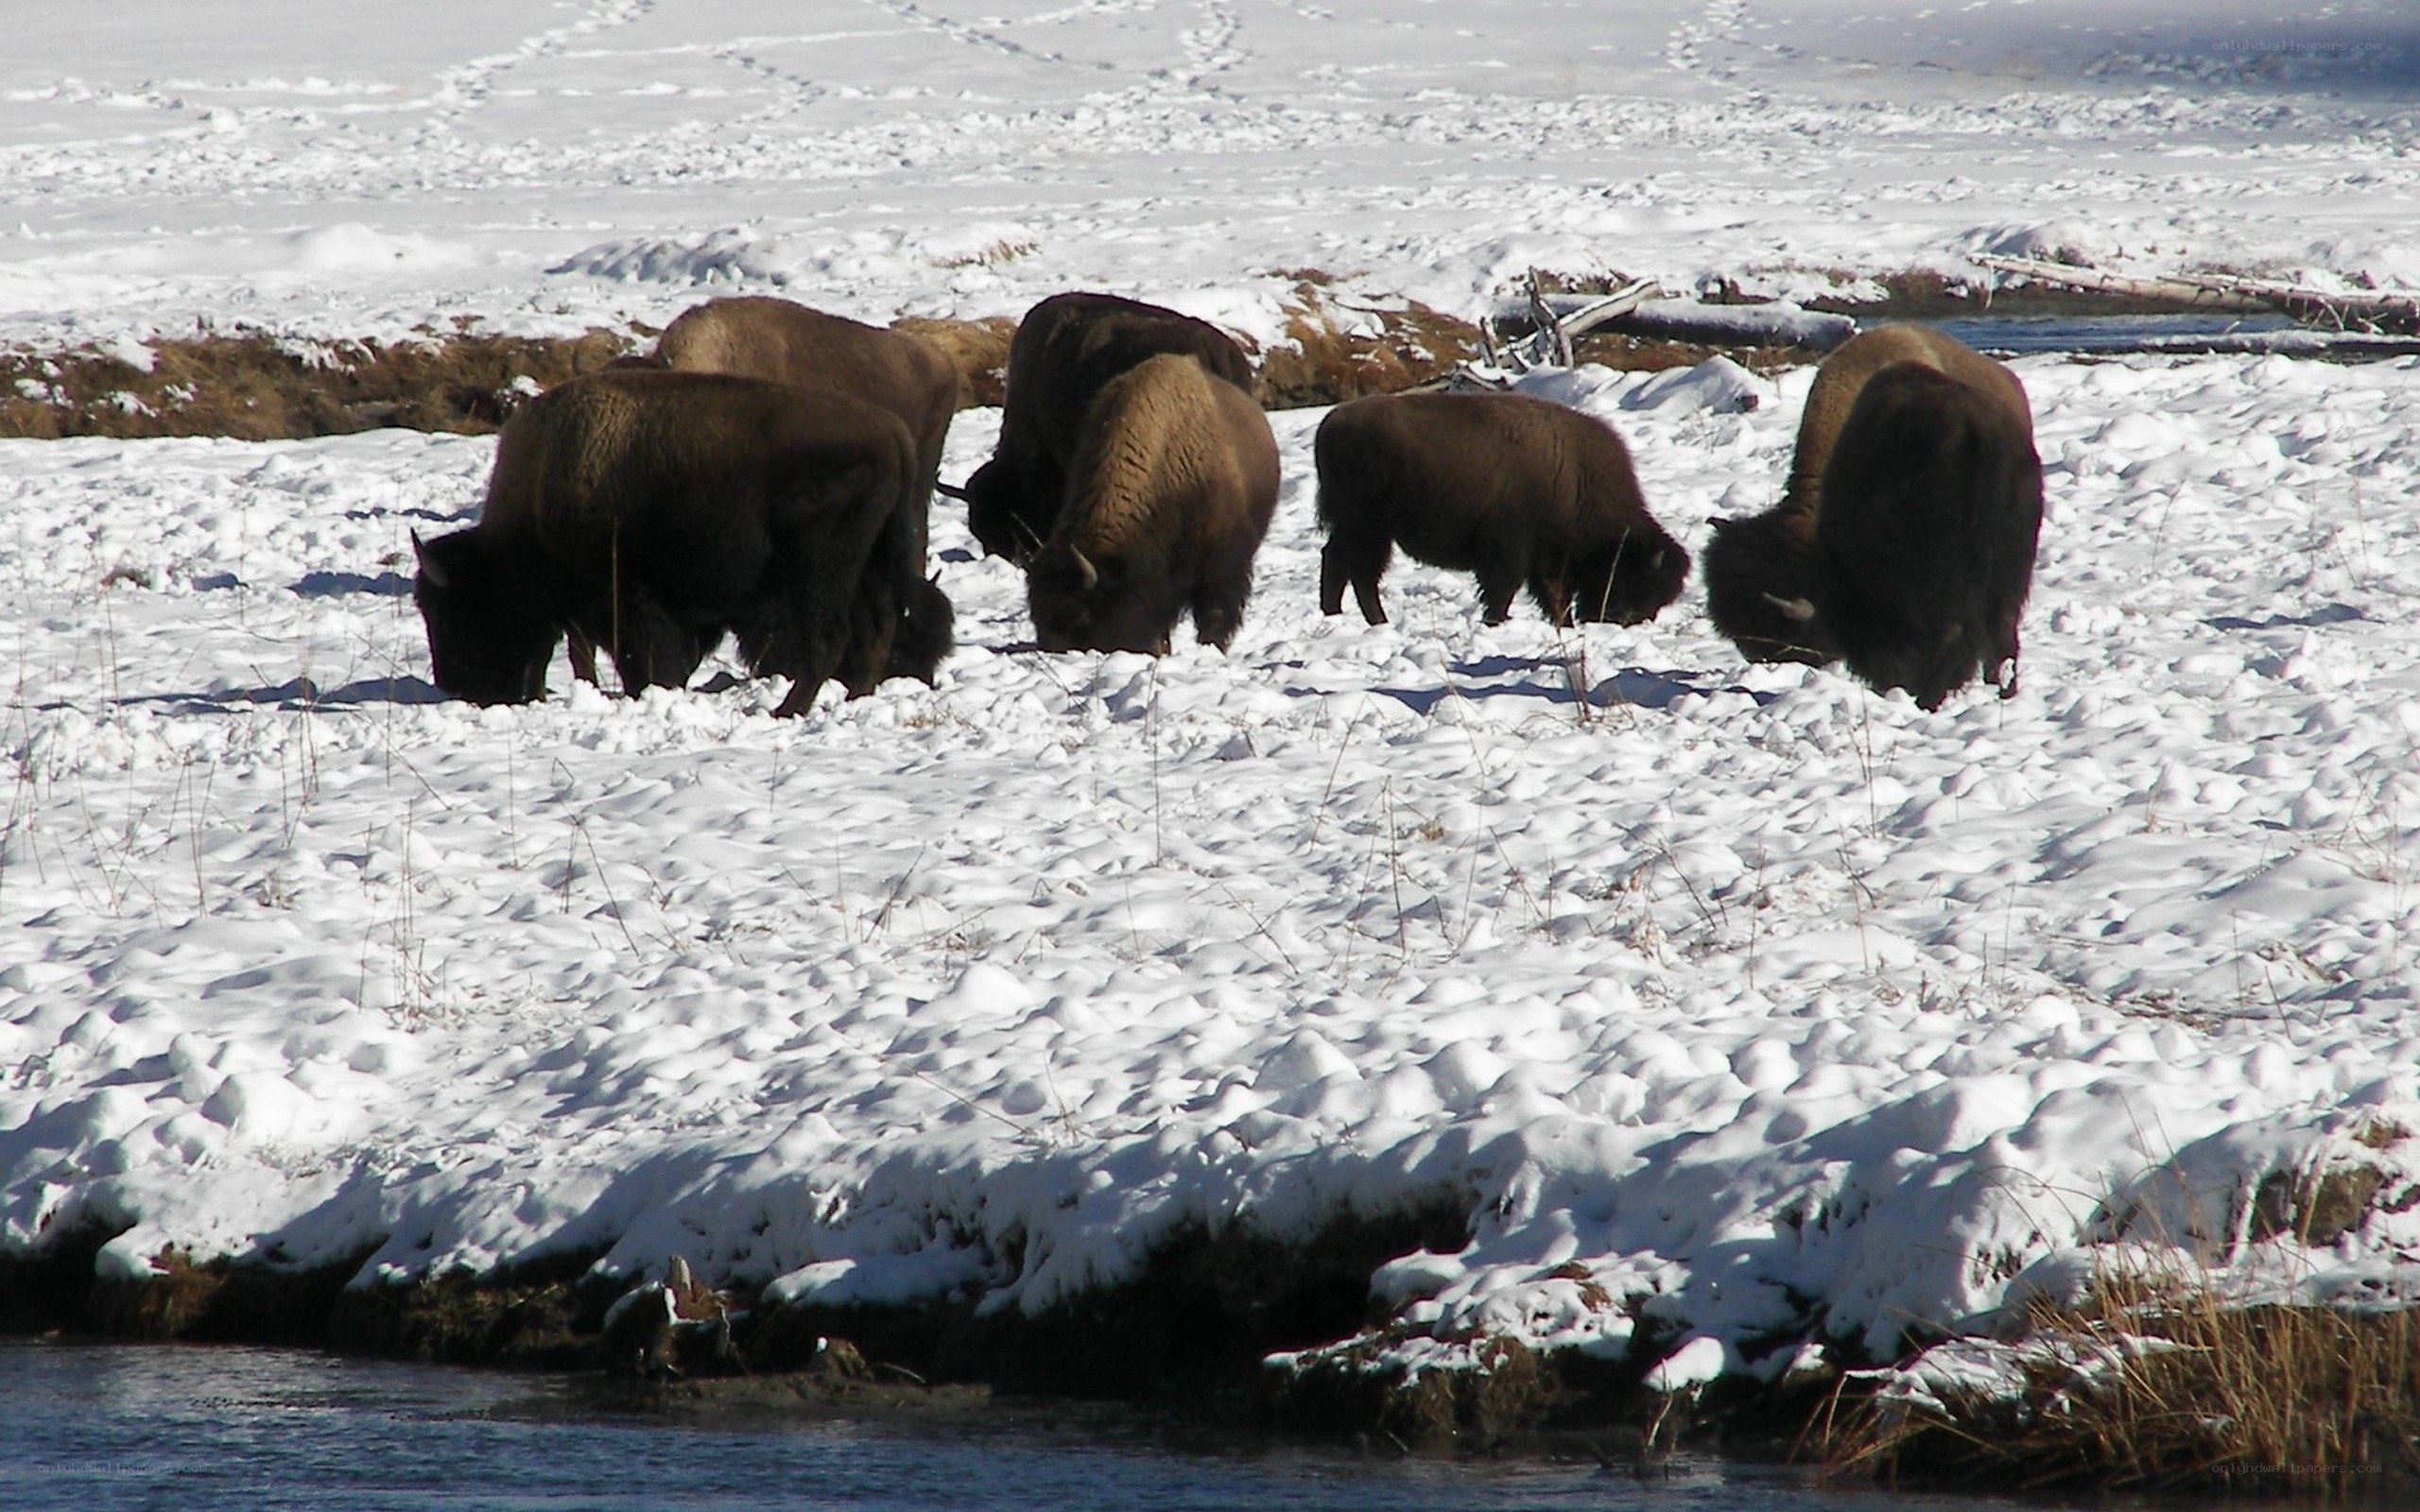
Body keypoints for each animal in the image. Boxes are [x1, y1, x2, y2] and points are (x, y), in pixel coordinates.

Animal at [413, 369, 916, 717]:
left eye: (455, 610)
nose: (459, 687)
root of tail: (891, 430)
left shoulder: (625, 601)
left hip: (819, 569)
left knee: (830, 637)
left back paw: (786, 710)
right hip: (867, 565)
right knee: (878, 628)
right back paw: (852, 699)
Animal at [1313, 390, 1689, 627]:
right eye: (1638, 581)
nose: (1627, 620)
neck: (1577, 477)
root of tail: (1331, 422)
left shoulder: (1546, 561)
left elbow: (1553, 597)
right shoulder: (1511, 555)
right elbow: (1504, 591)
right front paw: (1495, 622)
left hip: (1368, 530)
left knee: (1345, 565)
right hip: (1366, 527)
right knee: (1354, 569)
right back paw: (1363, 619)